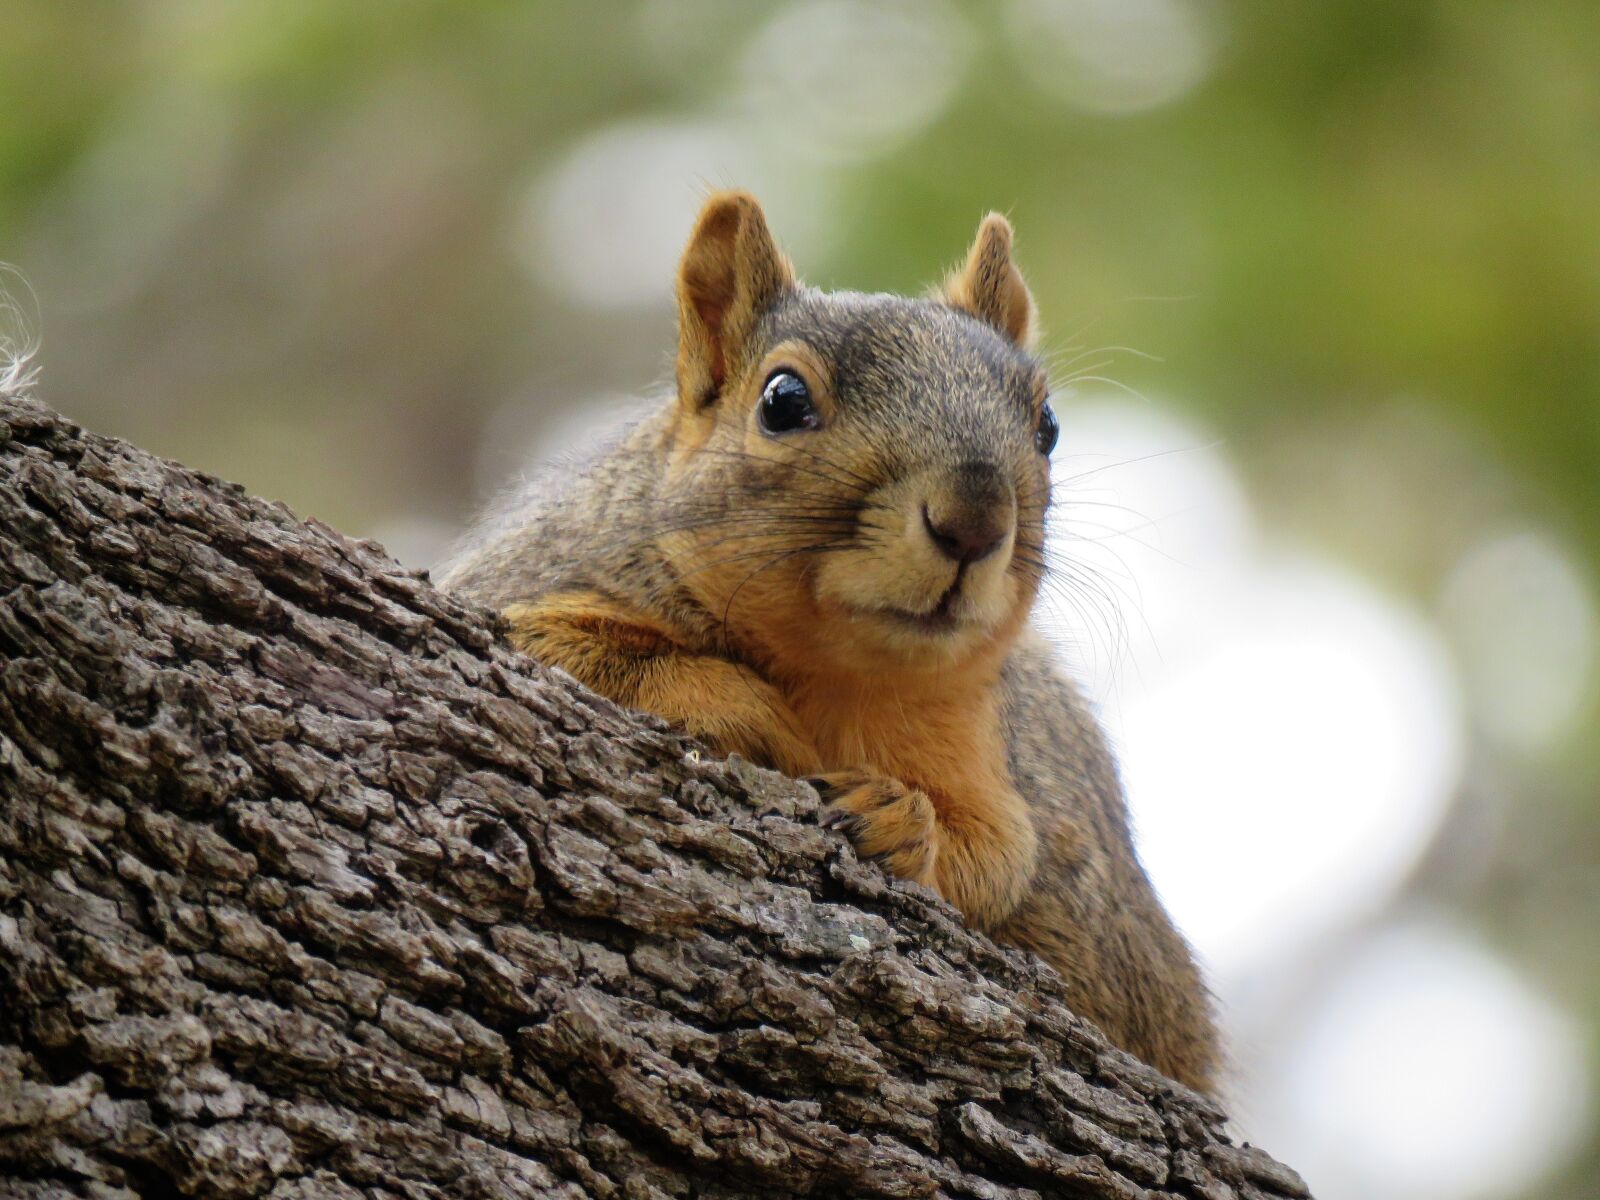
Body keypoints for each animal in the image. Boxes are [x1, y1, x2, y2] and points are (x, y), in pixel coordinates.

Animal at [439, 192, 1218, 1091]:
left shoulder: (991, 750)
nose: (975, 519)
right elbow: (566, 641)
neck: (836, 673)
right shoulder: (518, 584)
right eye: (781, 401)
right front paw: (746, 711)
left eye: (1048, 425)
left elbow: (1000, 855)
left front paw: (899, 817)